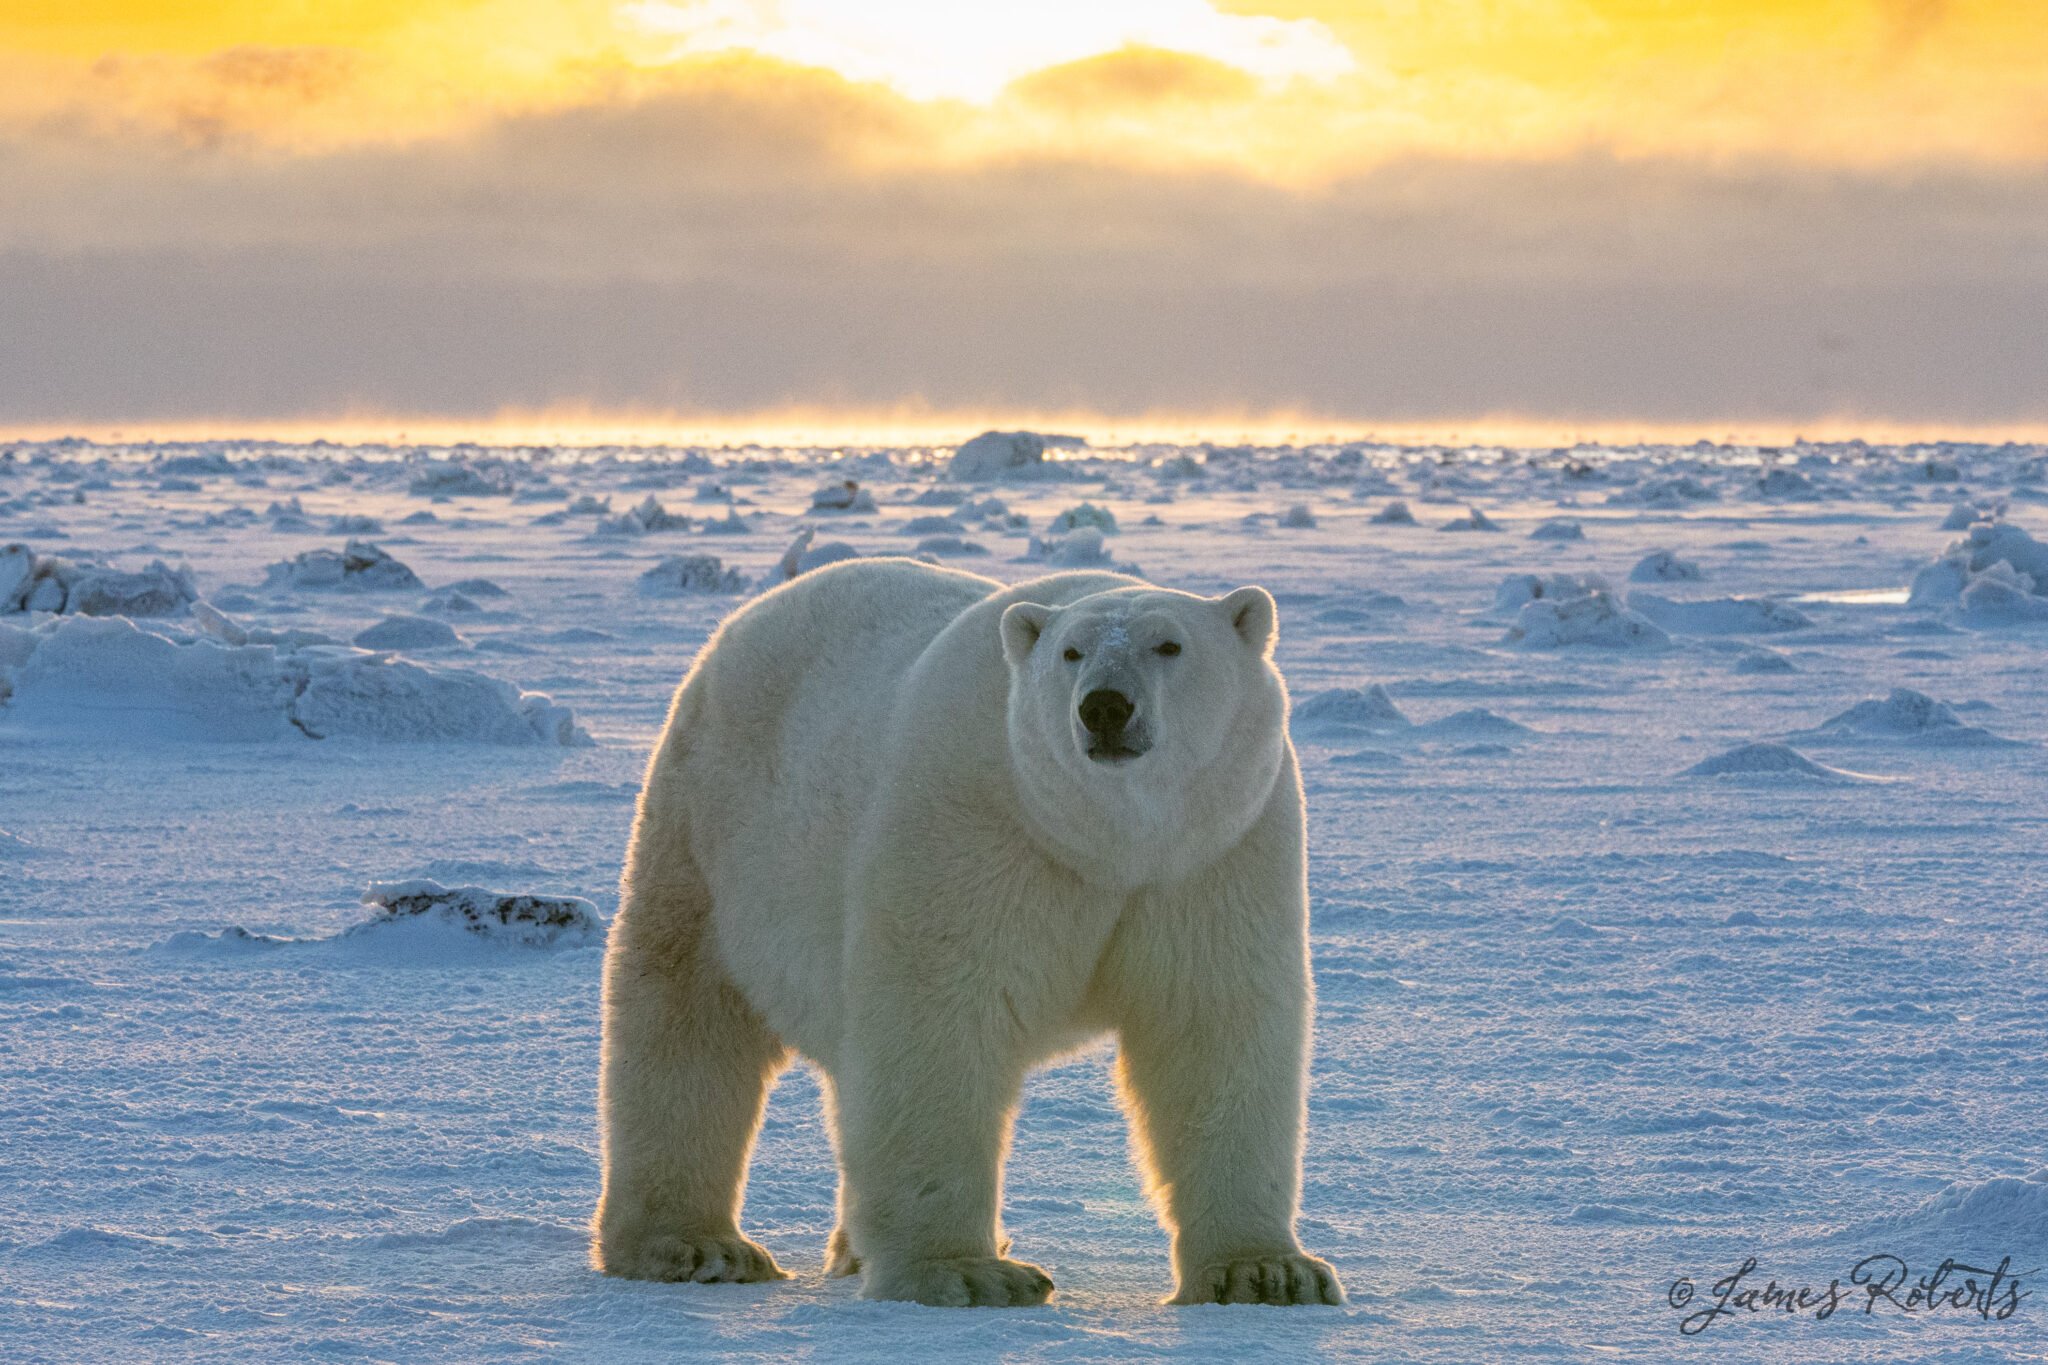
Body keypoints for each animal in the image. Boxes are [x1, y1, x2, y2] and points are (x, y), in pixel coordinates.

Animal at [593, 558, 1343, 1308]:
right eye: (1071, 652)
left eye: (1169, 645)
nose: (1104, 707)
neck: (1108, 842)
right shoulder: (972, 822)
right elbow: (940, 1022)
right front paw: (967, 1272)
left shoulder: (1215, 853)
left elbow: (1211, 1026)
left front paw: (1267, 1272)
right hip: (709, 834)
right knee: (686, 1020)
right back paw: (695, 1245)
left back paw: (848, 1249)